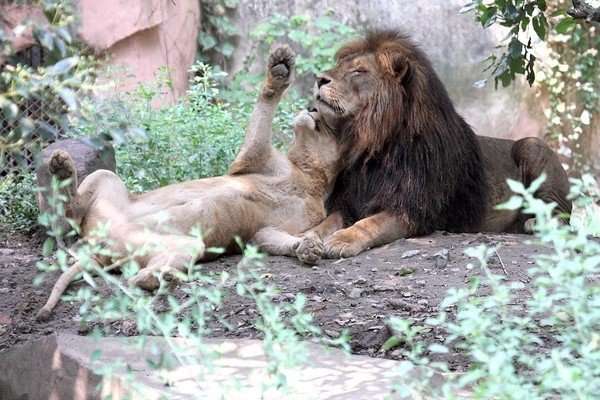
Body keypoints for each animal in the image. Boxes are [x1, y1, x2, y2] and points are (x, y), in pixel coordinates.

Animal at [37, 44, 340, 318]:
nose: (312, 109)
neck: (308, 176)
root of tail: (99, 247)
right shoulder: (250, 160)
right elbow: (263, 113)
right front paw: (279, 68)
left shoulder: (265, 231)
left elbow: (276, 239)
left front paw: (307, 247)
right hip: (107, 178)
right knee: (70, 213)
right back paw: (61, 167)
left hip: (180, 244)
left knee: (133, 276)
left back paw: (159, 278)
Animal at [308, 29, 568, 258]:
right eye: (342, 66)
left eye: (359, 70)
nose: (319, 79)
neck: (374, 144)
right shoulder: (349, 202)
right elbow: (328, 222)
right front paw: (308, 240)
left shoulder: (412, 210)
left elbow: (370, 224)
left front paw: (343, 239)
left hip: (532, 146)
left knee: (564, 215)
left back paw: (534, 223)